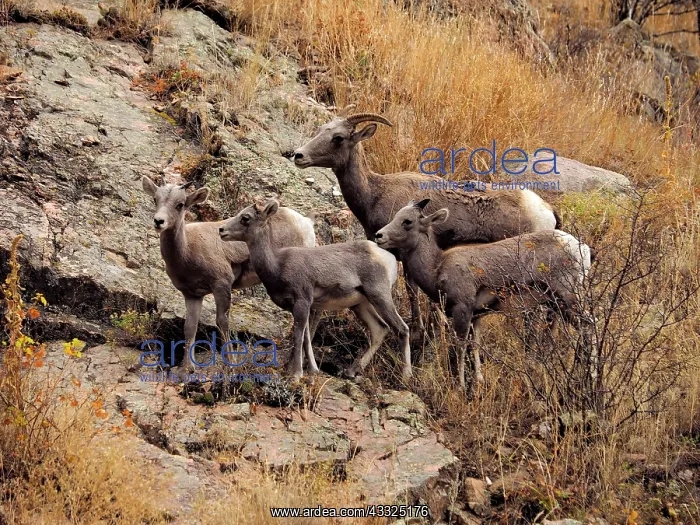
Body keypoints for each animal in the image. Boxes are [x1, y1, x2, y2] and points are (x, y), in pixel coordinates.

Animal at [141, 177, 316, 371]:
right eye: (155, 199)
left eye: (180, 204)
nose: (159, 221)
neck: (187, 251)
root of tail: (306, 223)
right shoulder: (192, 295)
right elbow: (190, 327)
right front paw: (187, 369)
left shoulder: (221, 284)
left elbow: (222, 322)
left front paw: (230, 364)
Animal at [218, 199, 411, 381]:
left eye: (245, 218)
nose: (221, 230)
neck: (277, 265)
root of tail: (388, 258)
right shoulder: (301, 308)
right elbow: (306, 338)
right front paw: (311, 370)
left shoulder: (302, 302)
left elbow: (299, 336)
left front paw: (296, 374)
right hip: (361, 304)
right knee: (380, 329)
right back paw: (351, 372)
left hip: (379, 296)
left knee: (401, 329)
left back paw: (405, 376)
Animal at [292, 111, 559, 335]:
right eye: (321, 129)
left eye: (338, 137)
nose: (298, 155)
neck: (375, 193)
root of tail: (547, 211)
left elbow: (412, 291)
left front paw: (419, 328)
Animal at [374, 199, 593, 389]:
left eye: (407, 221)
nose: (378, 236)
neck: (437, 267)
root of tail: (582, 249)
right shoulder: (476, 317)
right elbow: (475, 346)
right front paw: (478, 380)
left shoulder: (462, 311)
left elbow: (461, 348)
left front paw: (460, 387)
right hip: (556, 304)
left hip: (568, 300)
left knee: (589, 326)